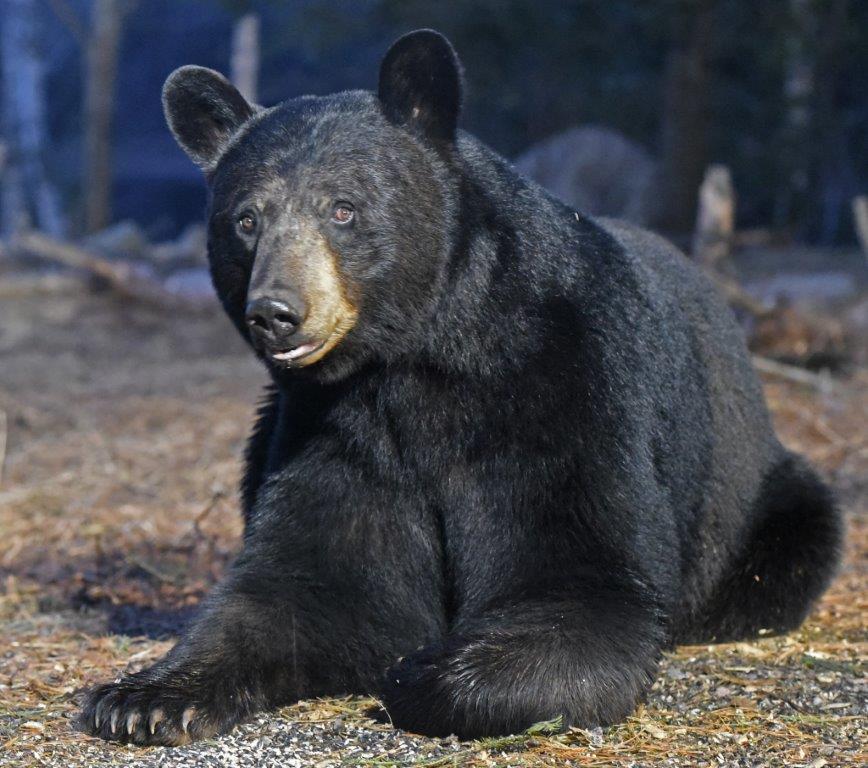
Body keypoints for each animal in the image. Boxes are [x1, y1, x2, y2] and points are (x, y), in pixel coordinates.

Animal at [78, 29, 842, 745]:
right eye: (245, 219)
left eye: (343, 209)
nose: (276, 310)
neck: (418, 356)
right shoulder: (334, 430)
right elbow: (312, 581)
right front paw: (143, 699)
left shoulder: (566, 387)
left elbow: (579, 575)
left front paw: (424, 670)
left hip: (757, 494)